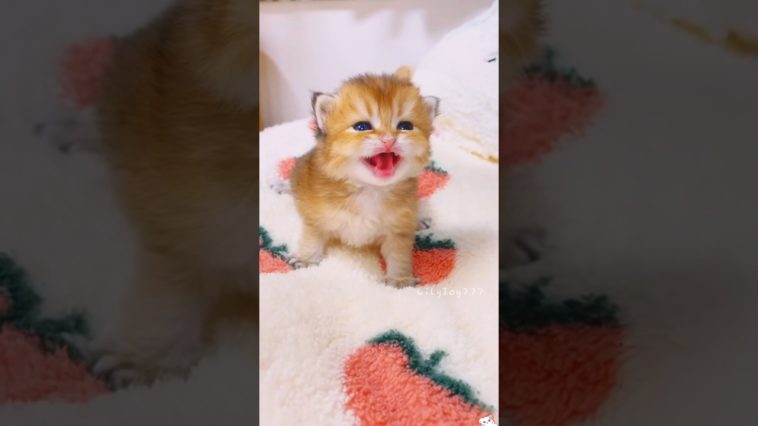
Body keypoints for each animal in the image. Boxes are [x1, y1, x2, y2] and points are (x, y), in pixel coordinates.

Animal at [289, 72, 439, 288]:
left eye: (405, 126)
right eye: (362, 127)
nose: (389, 139)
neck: (369, 190)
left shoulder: (398, 231)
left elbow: (399, 256)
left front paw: (400, 279)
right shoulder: (315, 215)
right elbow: (312, 236)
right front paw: (306, 258)